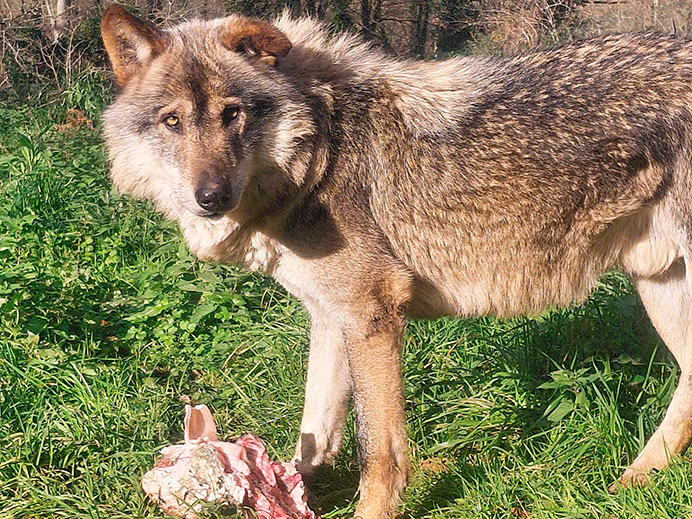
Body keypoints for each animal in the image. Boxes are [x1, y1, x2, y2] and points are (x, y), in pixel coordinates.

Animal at [101, 5, 692, 517]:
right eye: (172, 122)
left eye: (233, 114)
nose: (210, 197)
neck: (318, 150)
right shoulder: (331, 317)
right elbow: (314, 432)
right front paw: (278, 485)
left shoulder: (372, 313)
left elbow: (377, 451)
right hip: (659, 286)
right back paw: (634, 481)